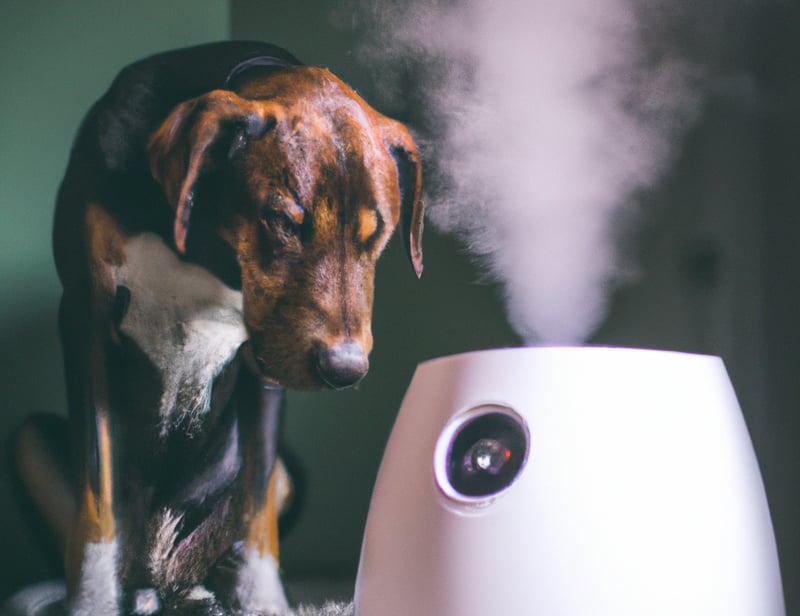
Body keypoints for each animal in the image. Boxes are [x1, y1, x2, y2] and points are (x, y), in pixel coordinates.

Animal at [14, 41, 424, 612]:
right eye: (282, 220)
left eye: (378, 232)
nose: (345, 369)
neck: (205, 242)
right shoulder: (84, 319)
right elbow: (97, 498)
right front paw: (92, 601)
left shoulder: (268, 359)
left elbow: (254, 506)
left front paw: (264, 601)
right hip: (29, 439)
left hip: (284, 476)